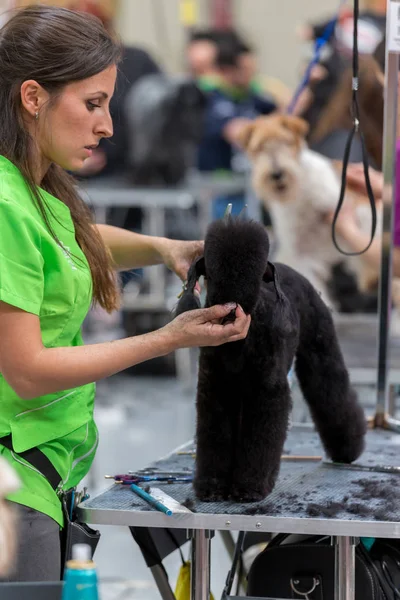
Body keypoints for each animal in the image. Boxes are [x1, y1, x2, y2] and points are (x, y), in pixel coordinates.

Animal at [175, 218, 366, 504]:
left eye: (253, 270)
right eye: (213, 268)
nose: (233, 307)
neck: (239, 345)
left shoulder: (266, 390)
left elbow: (260, 439)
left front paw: (249, 486)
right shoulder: (216, 389)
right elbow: (215, 438)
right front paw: (212, 486)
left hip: (320, 351)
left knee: (333, 393)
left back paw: (348, 450)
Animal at [238, 113, 382, 310]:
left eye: (286, 141)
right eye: (258, 147)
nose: (277, 174)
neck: (299, 192)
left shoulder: (350, 209)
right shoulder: (300, 251)